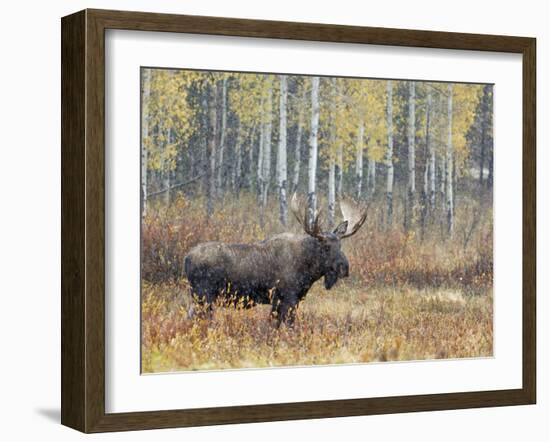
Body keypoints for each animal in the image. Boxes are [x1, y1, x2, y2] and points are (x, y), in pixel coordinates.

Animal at [183, 195, 368, 326]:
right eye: (326, 247)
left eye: (340, 245)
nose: (345, 267)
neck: (309, 271)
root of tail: (186, 258)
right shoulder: (286, 297)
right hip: (203, 295)